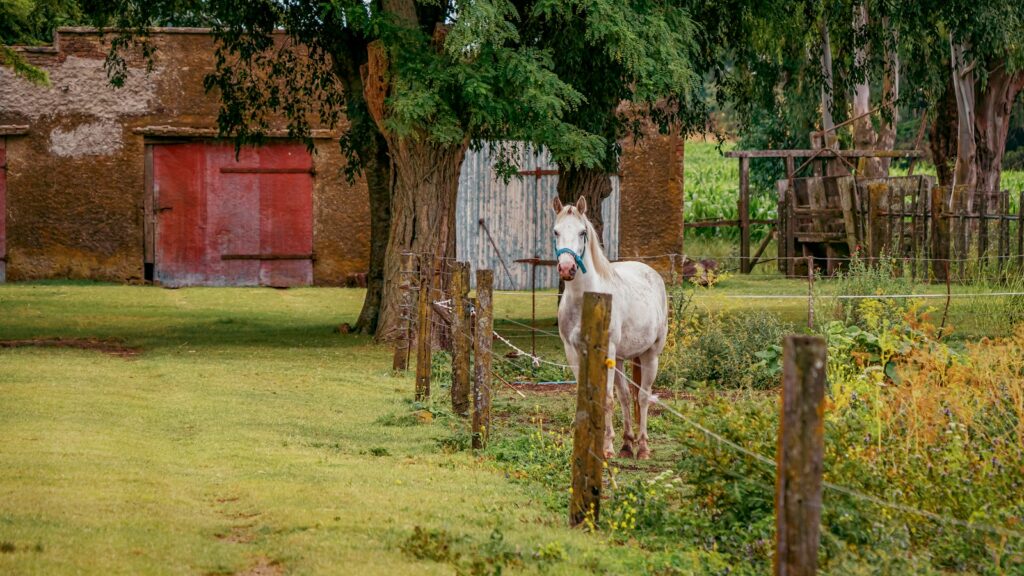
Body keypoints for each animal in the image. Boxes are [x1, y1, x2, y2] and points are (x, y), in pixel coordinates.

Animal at [552, 196, 668, 459]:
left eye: (583, 232)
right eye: (556, 232)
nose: (566, 268)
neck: (586, 300)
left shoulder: (607, 352)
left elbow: (605, 399)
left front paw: (605, 448)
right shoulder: (573, 352)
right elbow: (587, 397)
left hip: (650, 354)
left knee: (643, 397)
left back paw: (643, 447)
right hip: (623, 358)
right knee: (626, 397)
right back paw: (627, 444)